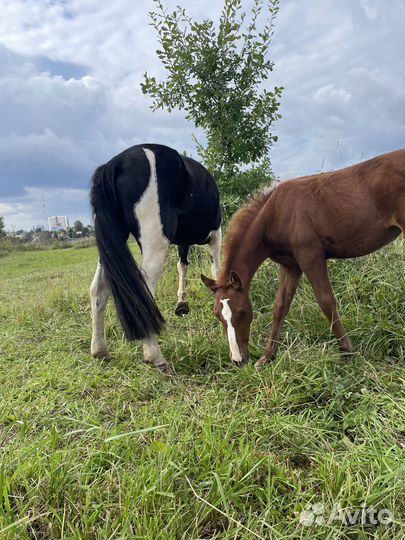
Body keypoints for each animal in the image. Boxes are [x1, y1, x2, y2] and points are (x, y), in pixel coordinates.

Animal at [90, 143, 221, 372]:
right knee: (143, 292)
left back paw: (100, 351)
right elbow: (216, 269)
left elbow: (182, 265)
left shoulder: (183, 242)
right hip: (156, 243)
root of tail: (115, 164)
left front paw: (182, 303)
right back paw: (155, 356)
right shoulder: (215, 234)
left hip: (110, 243)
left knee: (98, 288)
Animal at [202, 149, 404, 368]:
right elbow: (280, 306)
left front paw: (347, 351)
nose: (238, 360)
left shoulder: (310, 255)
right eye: (217, 314)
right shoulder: (290, 265)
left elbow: (326, 301)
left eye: (242, 312)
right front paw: (267, 357)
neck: (275, 214)